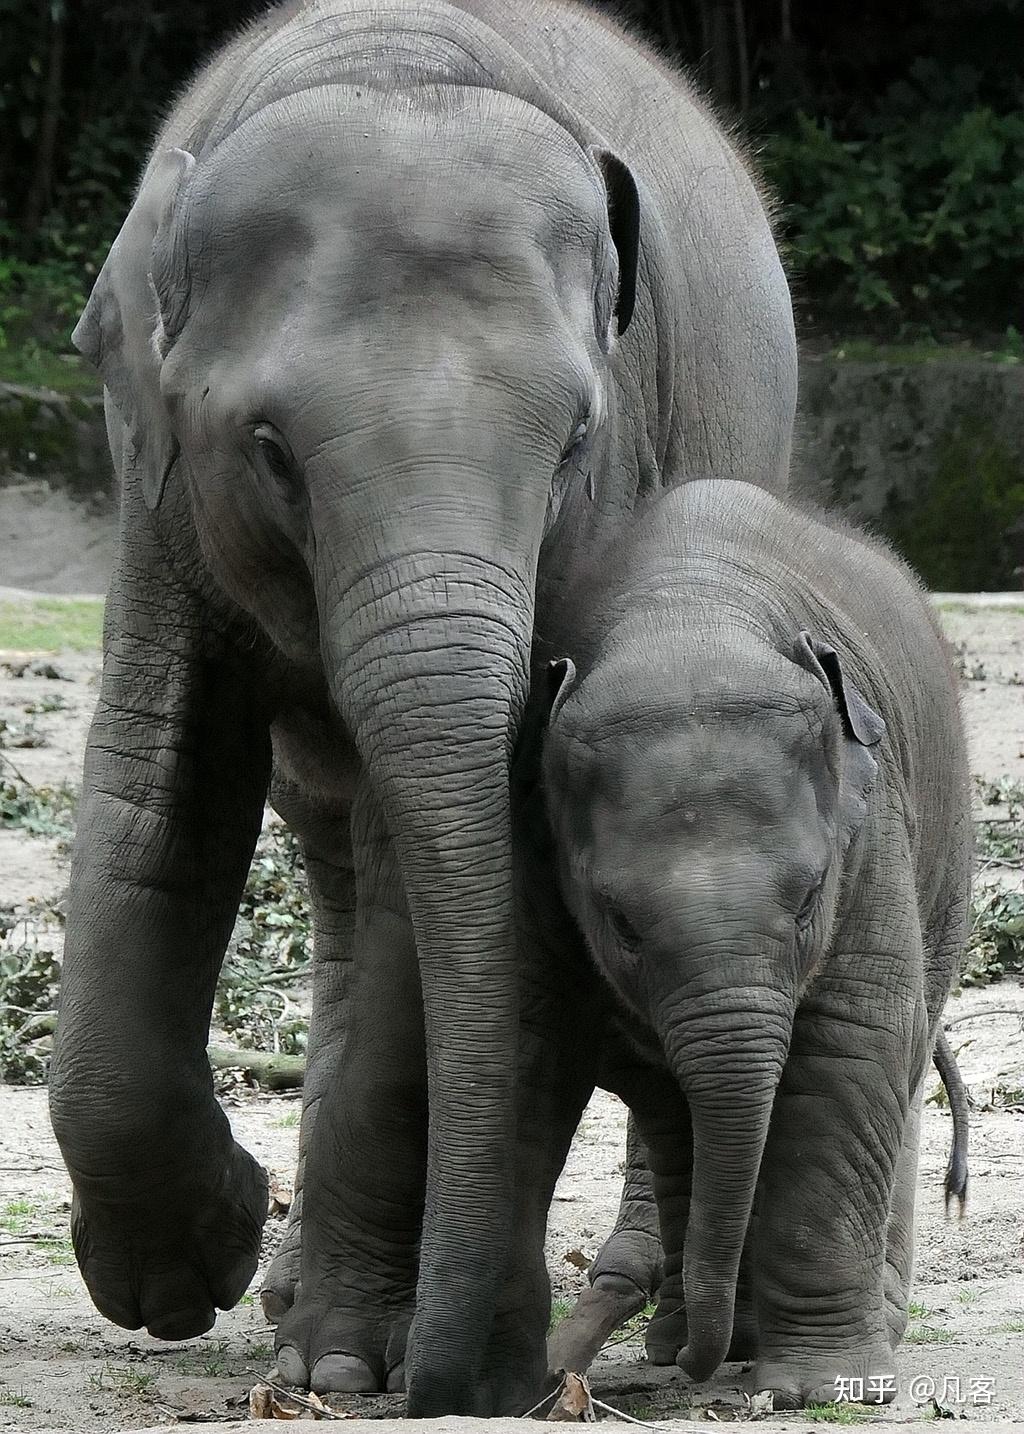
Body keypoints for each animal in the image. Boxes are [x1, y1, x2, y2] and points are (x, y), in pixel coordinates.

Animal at [48, 0, 791, 1411]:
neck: (389, 54)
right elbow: (154, 792)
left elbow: (430, 872)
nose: (479, 1377)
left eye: (574, 442)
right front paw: (193, 1271)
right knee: (324, 844)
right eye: (271, 448)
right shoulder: (156, 481)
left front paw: (345, 1360)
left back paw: (625, 1301)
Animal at [539, 481, 969, 1411]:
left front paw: (823, 1386)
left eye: (810, 896)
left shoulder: (872, 831)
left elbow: (852, 1046)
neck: (687, 618)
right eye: (620, 923)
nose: (565, 1373)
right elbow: (661, 1086)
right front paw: (709, 1343)